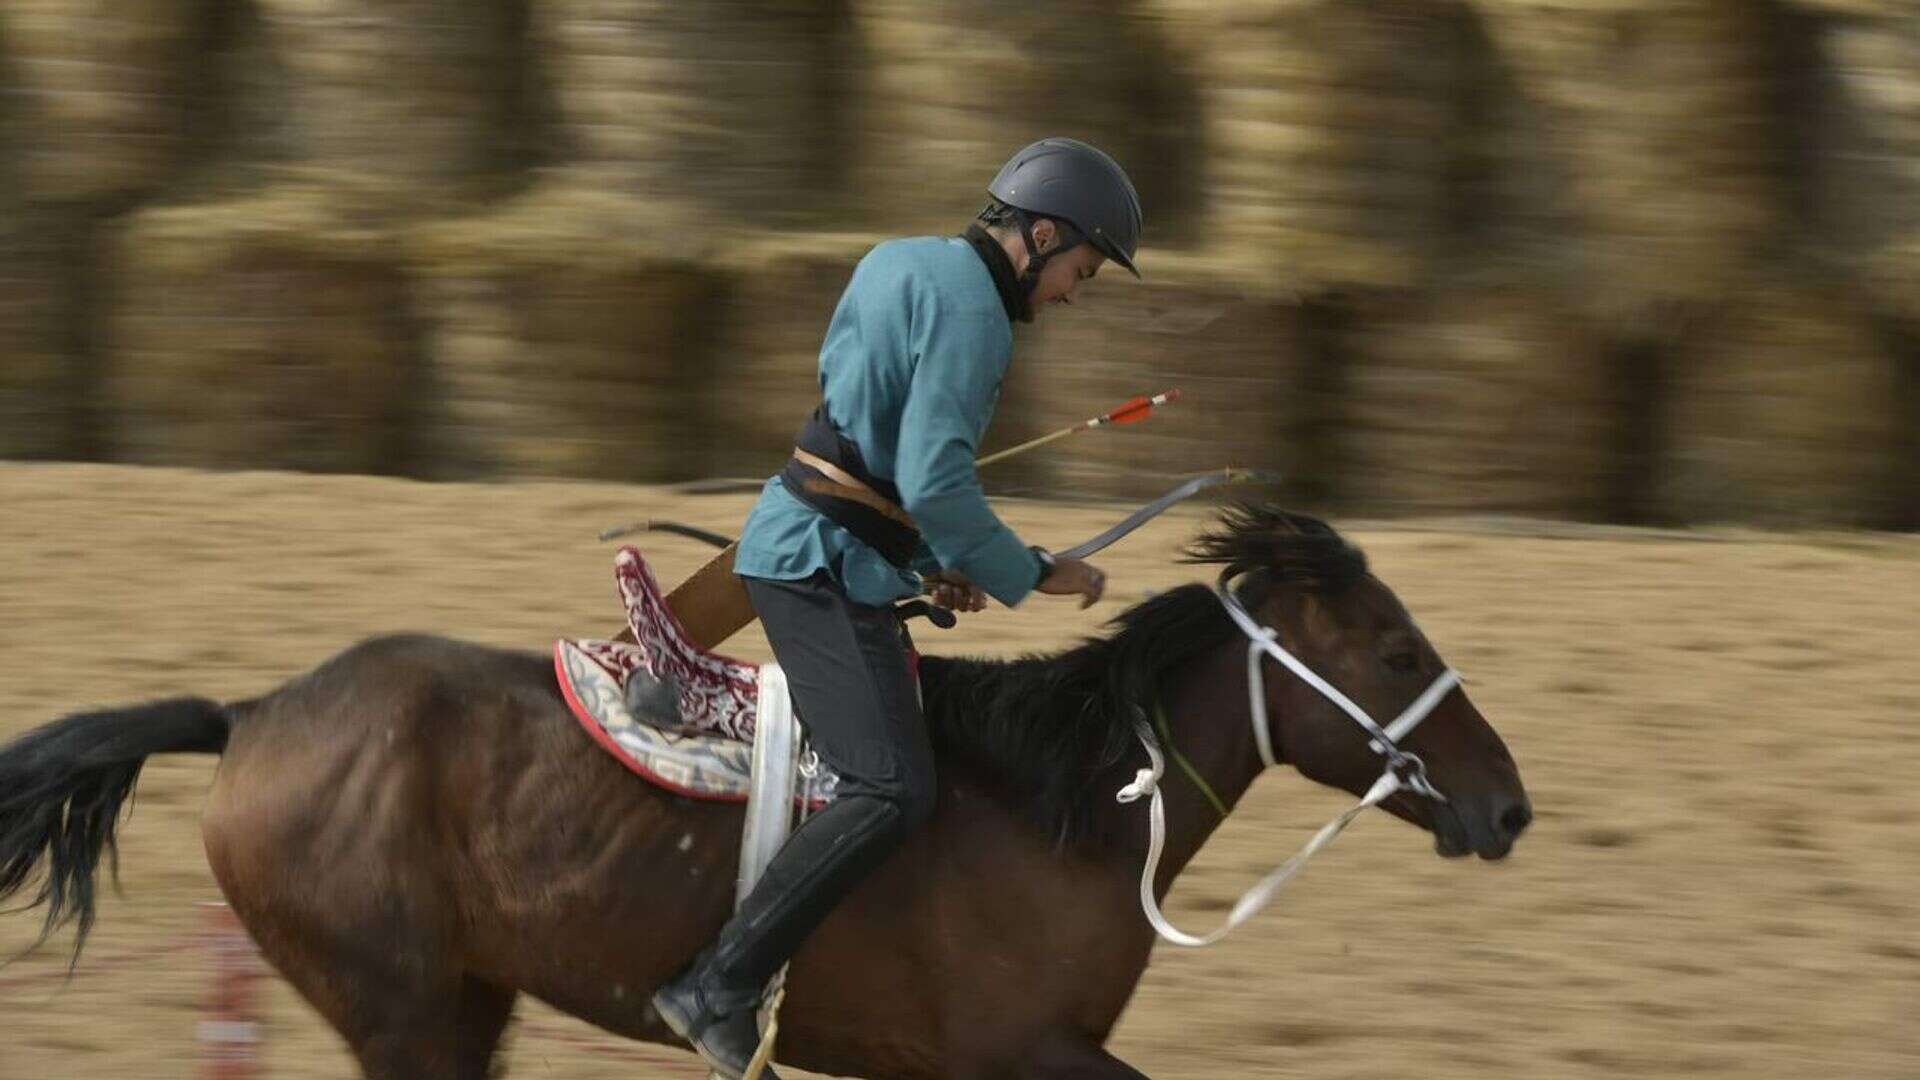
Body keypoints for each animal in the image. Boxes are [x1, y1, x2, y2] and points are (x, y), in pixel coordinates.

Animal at [0, 507, 1528, 1076]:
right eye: (1398, 651)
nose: (1507, 804)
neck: (1069, 810)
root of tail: (255, 715)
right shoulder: (1024, 1054)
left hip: (462, 1002)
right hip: (404, 1011)